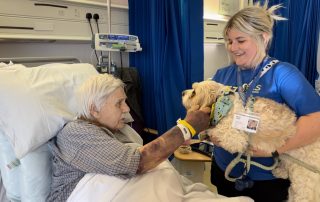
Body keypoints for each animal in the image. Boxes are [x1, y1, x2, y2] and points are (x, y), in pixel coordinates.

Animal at [182, 79, 320, 202]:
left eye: (193, 92)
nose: (183, 92)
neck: (224, 103)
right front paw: (203, 134)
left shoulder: (234, 137)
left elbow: (216, 130)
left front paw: (205, 131)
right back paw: (279, 171)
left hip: (304, 181)